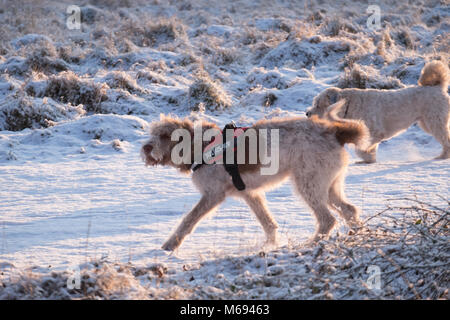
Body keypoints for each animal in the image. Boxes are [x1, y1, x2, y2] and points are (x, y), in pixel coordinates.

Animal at [142, 102, 370, 250]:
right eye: (153, 133)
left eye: (165, 135)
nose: (146, 148)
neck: (201, 146)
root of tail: (334, 131)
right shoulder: (251, 194)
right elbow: (267, 223)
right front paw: (270, 244)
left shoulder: (212, 195)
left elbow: (188, 221)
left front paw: (170, 245)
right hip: (328, 187)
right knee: (349, 210)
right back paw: (357, 234)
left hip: (309, 186)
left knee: (327, 220)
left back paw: (311, 244)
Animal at [306, 60, 450, 162]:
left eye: (318, 104)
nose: (307, 113)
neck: (349, 104)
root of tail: (438, 87)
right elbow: (370, 149)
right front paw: (369, 160)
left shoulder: (374, 132)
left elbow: (361, 149)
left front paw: (366, 157)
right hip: (427, 123)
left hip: (435, 121)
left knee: (446, 140)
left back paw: (442, 156)